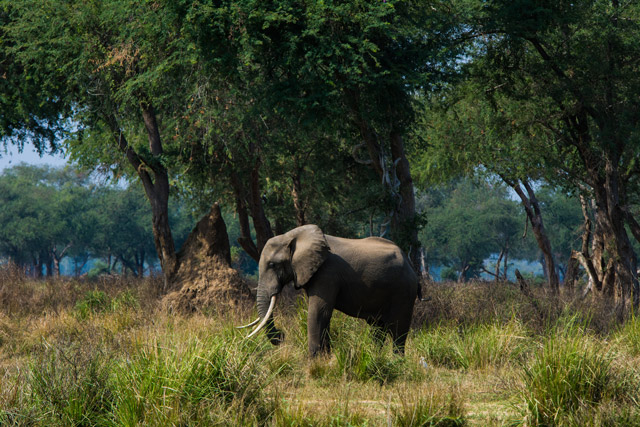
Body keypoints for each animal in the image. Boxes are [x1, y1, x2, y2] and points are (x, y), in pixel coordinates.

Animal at [238, 224, 419, 357]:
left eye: (273, 265)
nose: (282, 336)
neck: (294, 236)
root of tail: (411, 265)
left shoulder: (327, 274)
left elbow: (318, 312)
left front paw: (314, 361)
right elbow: (323, 315)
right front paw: (326, 358)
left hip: (404, 291)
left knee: (398, 330)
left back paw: (396, 361)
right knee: (377, 328)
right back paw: (375, 357)